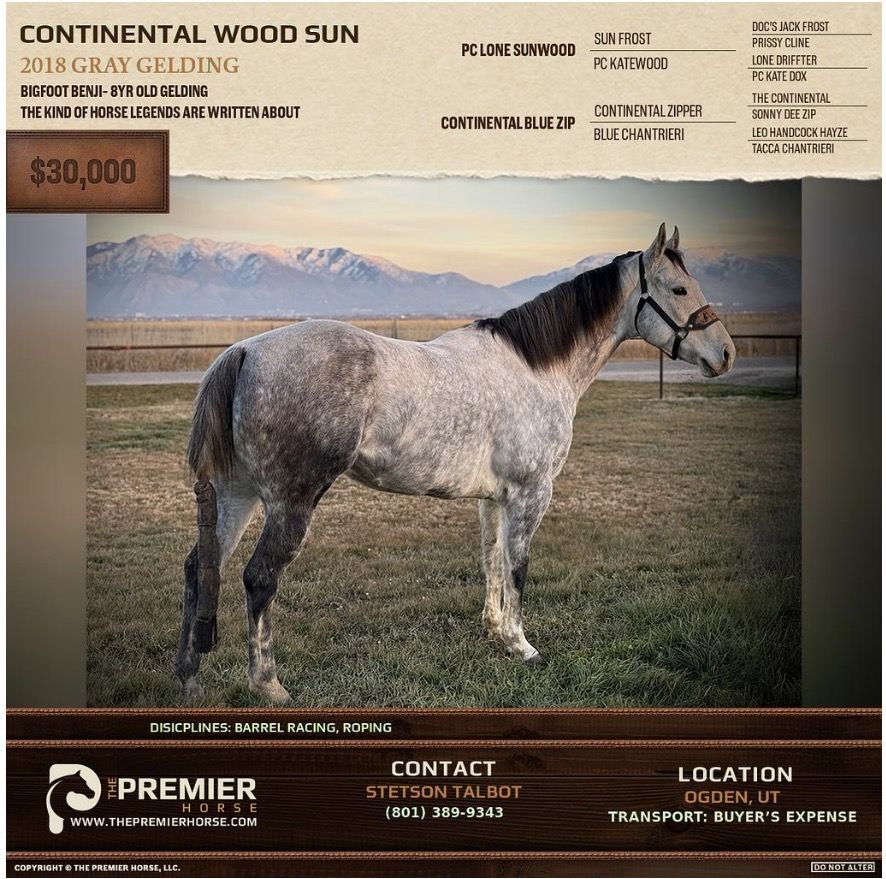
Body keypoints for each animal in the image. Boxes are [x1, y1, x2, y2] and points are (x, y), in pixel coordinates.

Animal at [175, 223, 736, 702]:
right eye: (678, 289)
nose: (726, 353)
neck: (537, 368)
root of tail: (245, 351)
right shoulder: (532, 494)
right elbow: (518, 567)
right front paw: (523, 645)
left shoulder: (494, 498)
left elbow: (492, 562)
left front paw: (496, 634)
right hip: (291, 503)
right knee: (259, 578)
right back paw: (268, 684)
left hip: (238, 495)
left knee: (202, 567)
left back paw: (188, 676)